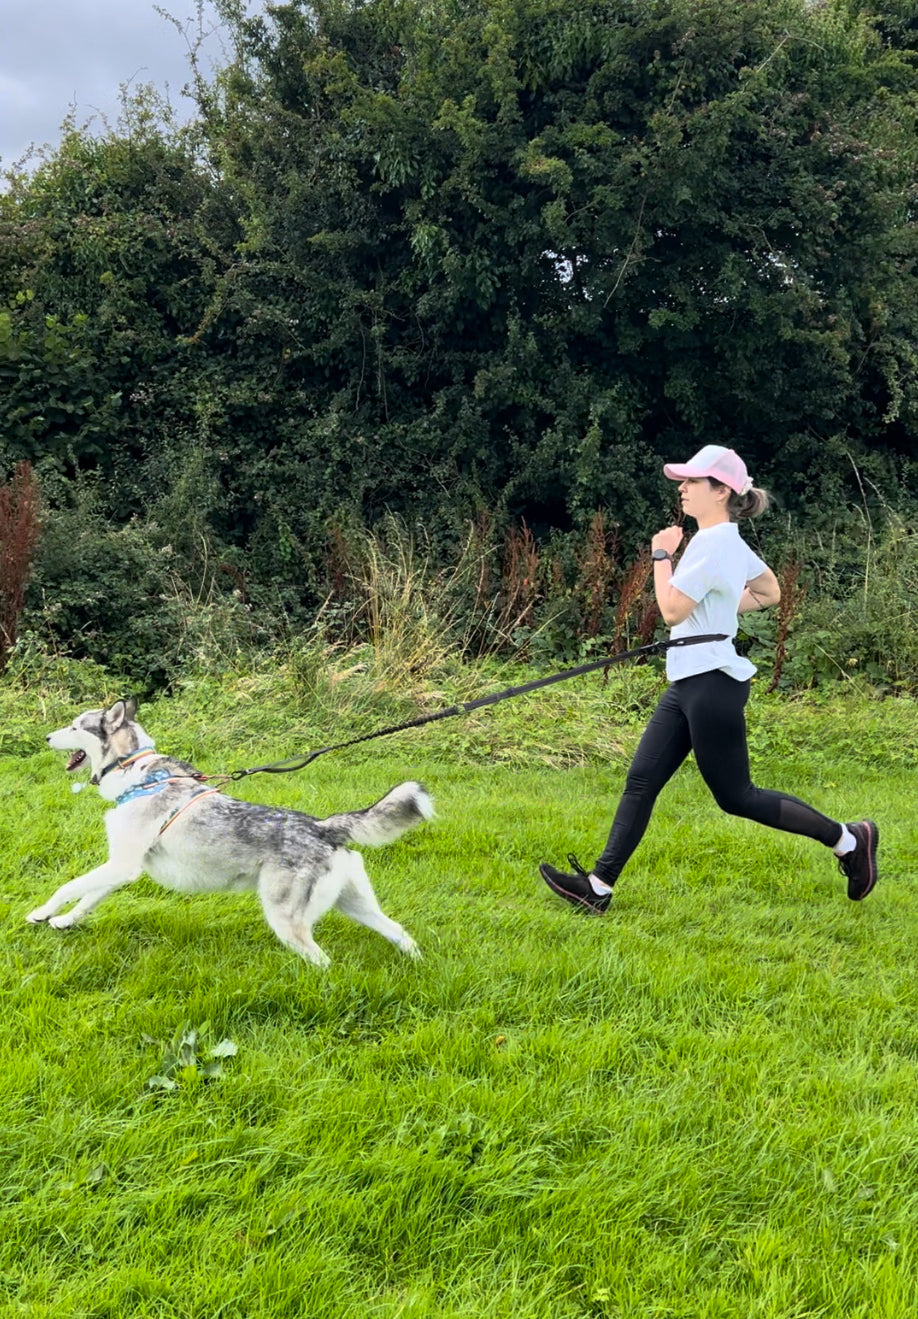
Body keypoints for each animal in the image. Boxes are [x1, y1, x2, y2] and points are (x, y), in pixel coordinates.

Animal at [27, 701, 429, 970]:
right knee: (399, 932)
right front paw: (63, 921)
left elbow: (66, 888)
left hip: (286, 920)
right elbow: (87, 898)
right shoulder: (123, 867)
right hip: (358, 905)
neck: (136, 773)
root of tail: (323, 826)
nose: (45, 736)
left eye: (75, 727)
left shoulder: (122, 865)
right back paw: (420, 966)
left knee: (323, 960)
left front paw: (40, 913)